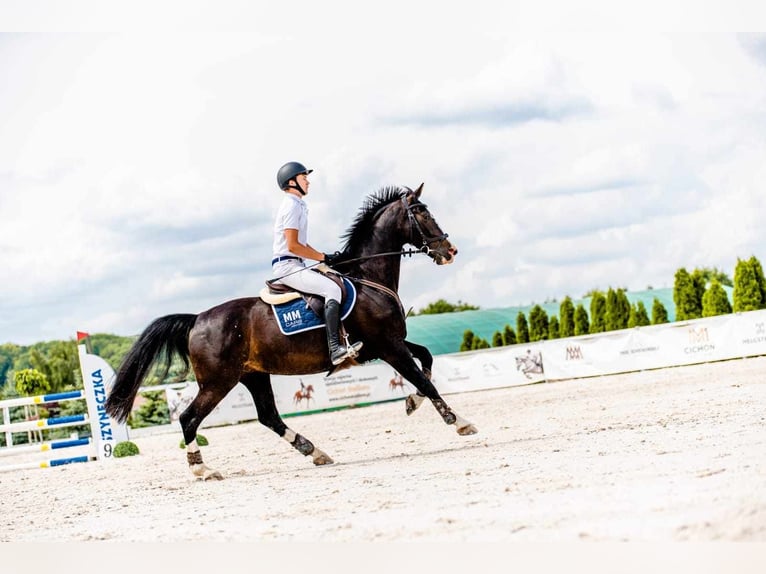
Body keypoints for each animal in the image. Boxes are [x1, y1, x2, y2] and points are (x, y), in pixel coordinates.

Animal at [106, 184, 480, 482]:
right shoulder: (388, 346)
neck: (367, 277)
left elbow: (427, 360)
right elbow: (425, 380)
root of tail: (197, 319)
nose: (450, 251)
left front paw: (411, 403)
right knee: (189, 418)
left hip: (253, 375)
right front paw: (460, 422)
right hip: (218, 381)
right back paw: (203, 469)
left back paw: (314, 451)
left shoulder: (386, 344)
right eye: (421, 213)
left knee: (268, 416)